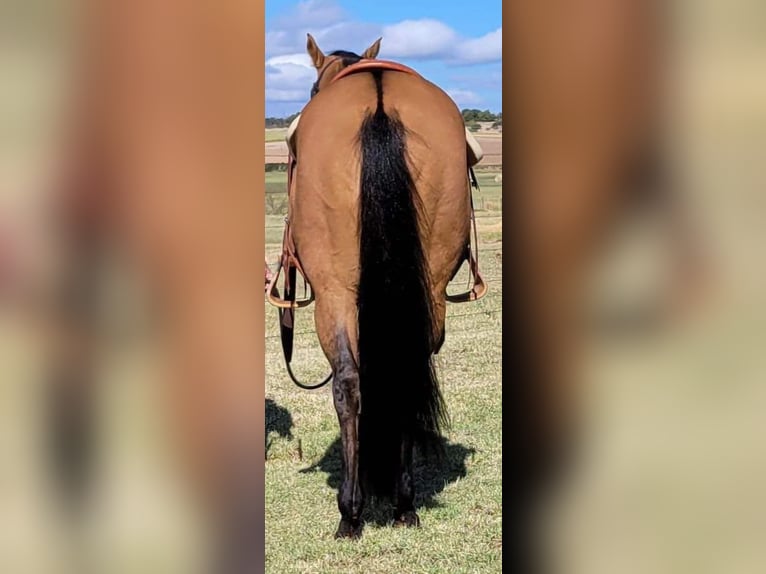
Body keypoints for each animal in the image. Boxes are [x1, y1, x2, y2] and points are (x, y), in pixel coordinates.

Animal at [268, 35, 488, 540]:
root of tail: (379, 104)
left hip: (333, 295)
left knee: (347, 384)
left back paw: (351, 511)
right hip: (429, 291)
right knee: (405, 369)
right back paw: (404, 502)